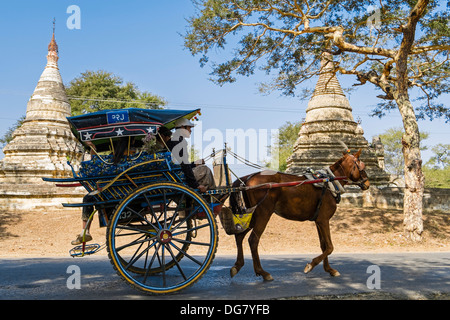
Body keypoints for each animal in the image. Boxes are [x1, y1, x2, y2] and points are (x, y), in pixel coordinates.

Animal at [229, 148, 370, 280]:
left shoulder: (319, 221)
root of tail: (248, 179)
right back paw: (262, 272)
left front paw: (329, 269)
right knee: (253, 240)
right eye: (362, 166)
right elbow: (329, 247)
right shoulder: (324, 220)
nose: (367, 183)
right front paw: (310, 265)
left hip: (252, 215)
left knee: (240, 236)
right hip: (263, 214)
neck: (329, 181)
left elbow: (324, 246)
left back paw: (237, 266)